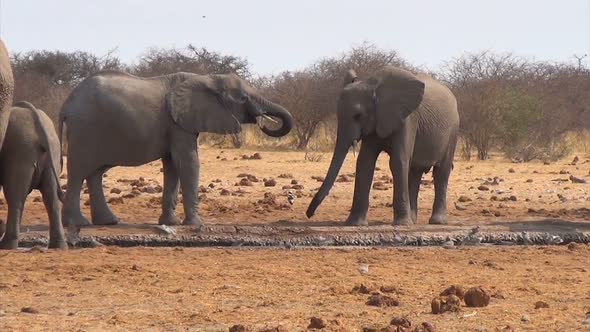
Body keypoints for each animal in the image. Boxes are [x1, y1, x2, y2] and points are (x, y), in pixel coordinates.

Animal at [0, 101, 66, 249]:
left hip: (19, 151)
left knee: (15, 198)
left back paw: (6, 245)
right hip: (53, 152)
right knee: (52, 198)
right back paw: (59, 246)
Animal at [60, 71, 296, 227]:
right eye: (243, 98)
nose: (263, 122)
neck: (208, 78)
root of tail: (67, 103)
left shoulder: (179, 124)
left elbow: (173, 166)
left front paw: (171, 223)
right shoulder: (178, 124)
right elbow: (188, 162)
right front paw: (195, 225)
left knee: (95, 172)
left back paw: (108, 222)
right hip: (85, 129)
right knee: (78, 172)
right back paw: (78, 224)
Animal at [308, 65, 464, 226]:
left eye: (358, 115)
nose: (309, 214)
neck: (373, 87)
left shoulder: (407, 118)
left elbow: (398, 161)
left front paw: (401, 224)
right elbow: (365, 162)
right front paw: (354, 224)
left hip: (453, 130)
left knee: (441, 172)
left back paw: (436, 222)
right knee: (414, 172)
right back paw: (413, 221)